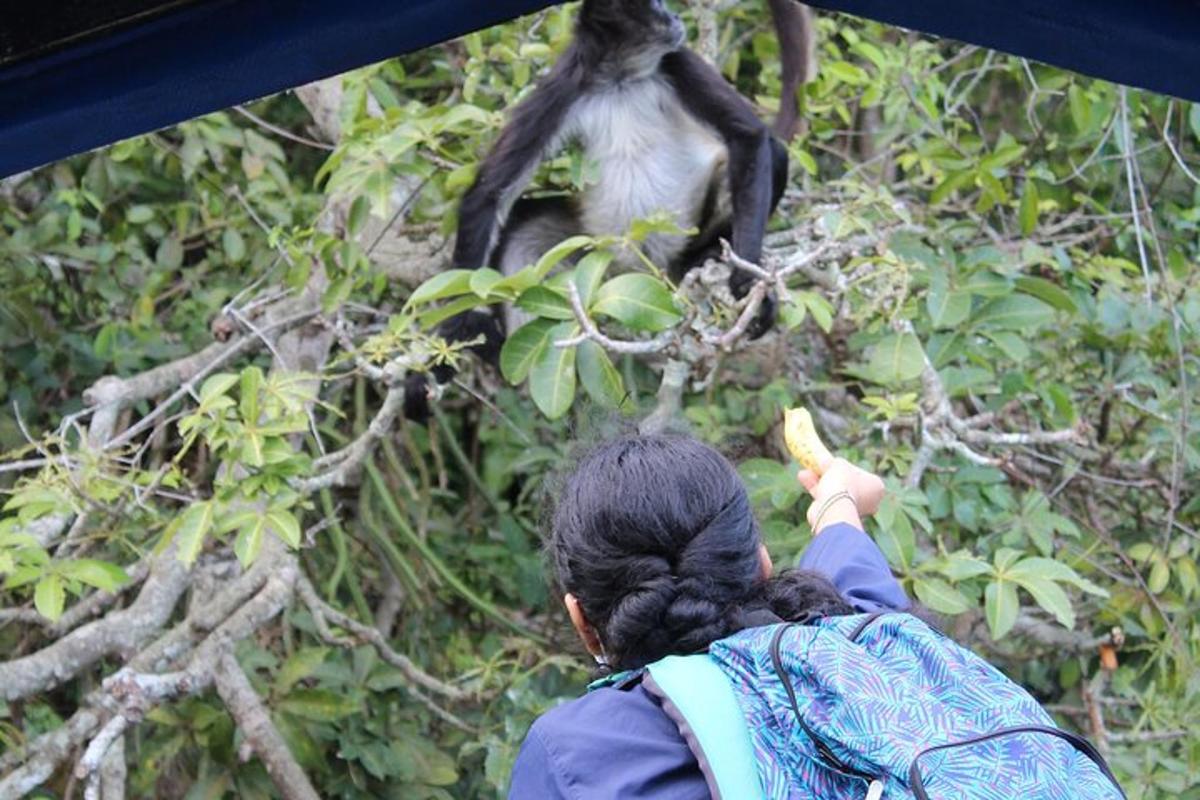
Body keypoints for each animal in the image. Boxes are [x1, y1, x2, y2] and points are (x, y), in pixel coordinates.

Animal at [405, 1, 816, 419]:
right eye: (655, 6)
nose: (674, 19)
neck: (620, 77)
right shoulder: (563, 87)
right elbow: (488, 195)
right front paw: (450, 338)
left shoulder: (676, 60)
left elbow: (748, 137)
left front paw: (749, 282)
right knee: (521, 219)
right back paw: (498, 347)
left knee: (773, 151)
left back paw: (703, 256)